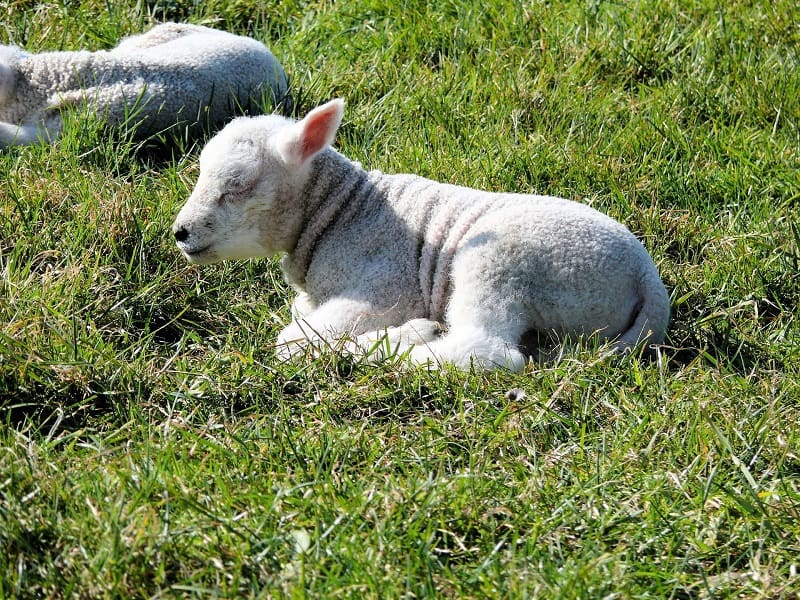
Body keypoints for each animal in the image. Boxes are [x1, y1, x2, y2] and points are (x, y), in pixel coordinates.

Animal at [173, 98, 668, 370]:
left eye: (239, 185)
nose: (180, 232)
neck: (339, 211)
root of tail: (648, 281)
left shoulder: (385, 287)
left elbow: (290, 340)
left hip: (503, 264)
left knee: (486, 351)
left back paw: (398, 343)